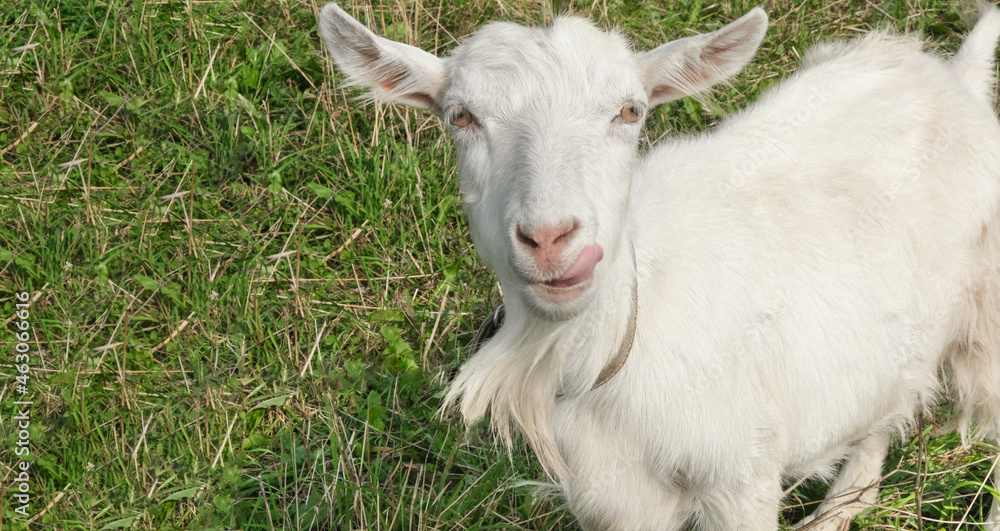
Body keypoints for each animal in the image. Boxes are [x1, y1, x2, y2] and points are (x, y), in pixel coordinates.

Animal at [318, 2, 1000, 529]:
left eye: (630, 111)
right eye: (460, 117)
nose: (551, 238)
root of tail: (958, 77)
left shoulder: (740, 479)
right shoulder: (612, 499)